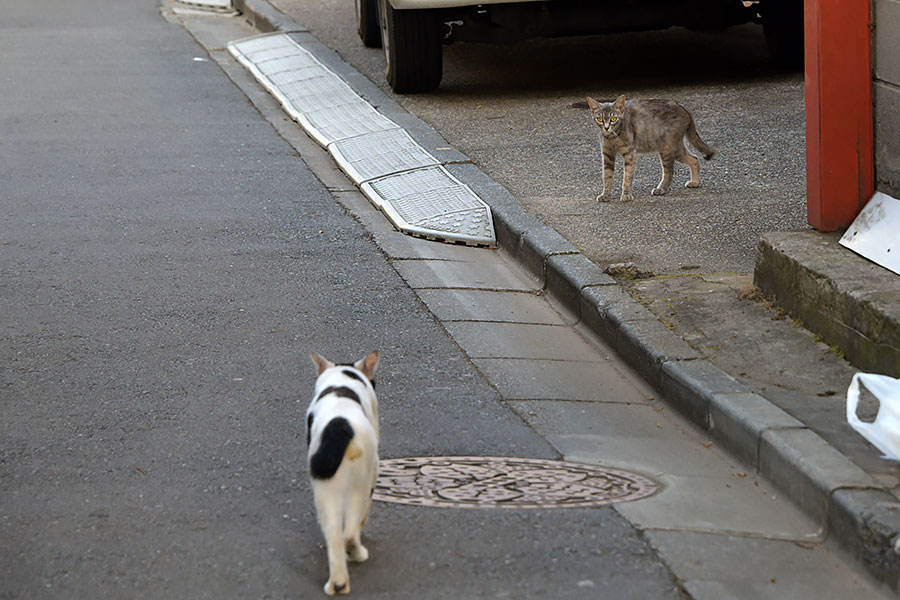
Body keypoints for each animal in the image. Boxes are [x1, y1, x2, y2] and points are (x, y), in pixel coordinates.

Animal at [310, 352, 380, 596]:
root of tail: (339, 426)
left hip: (324, 490)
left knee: (334, 534)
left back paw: (337, 583)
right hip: (360, 483)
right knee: (349, 532)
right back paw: (358, 554)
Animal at [584, 95, 716, 203]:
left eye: (613, 119)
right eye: (600, 119)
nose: (606, 128)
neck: (612, 136)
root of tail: (684, 109)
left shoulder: (630, 153)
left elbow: (627, 176)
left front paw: (626, 195)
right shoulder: (607, 154)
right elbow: (607, 176)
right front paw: (605, 195)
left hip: (668, 149)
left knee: (670, 171)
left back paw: (661, 189)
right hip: (675, 148)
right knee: (694, 159)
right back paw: (695, 182)